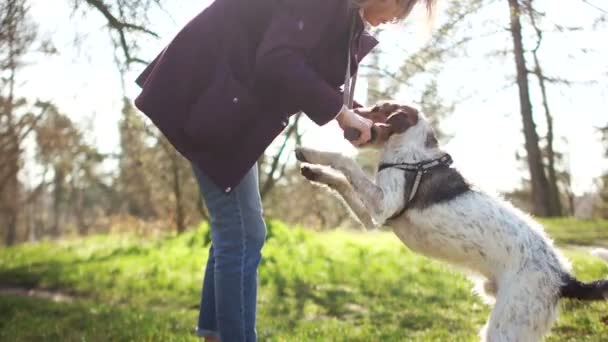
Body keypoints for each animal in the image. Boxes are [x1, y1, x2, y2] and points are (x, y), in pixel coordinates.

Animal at [294, 103, 604, 342]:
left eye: (378, 108)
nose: (349, 110)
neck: (411, 153)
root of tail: (564, 278)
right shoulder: (373, 219)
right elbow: (340, 181)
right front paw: (313, 168)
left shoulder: (383, 204)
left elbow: (345, 162)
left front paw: (312, 152)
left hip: (506, 329)